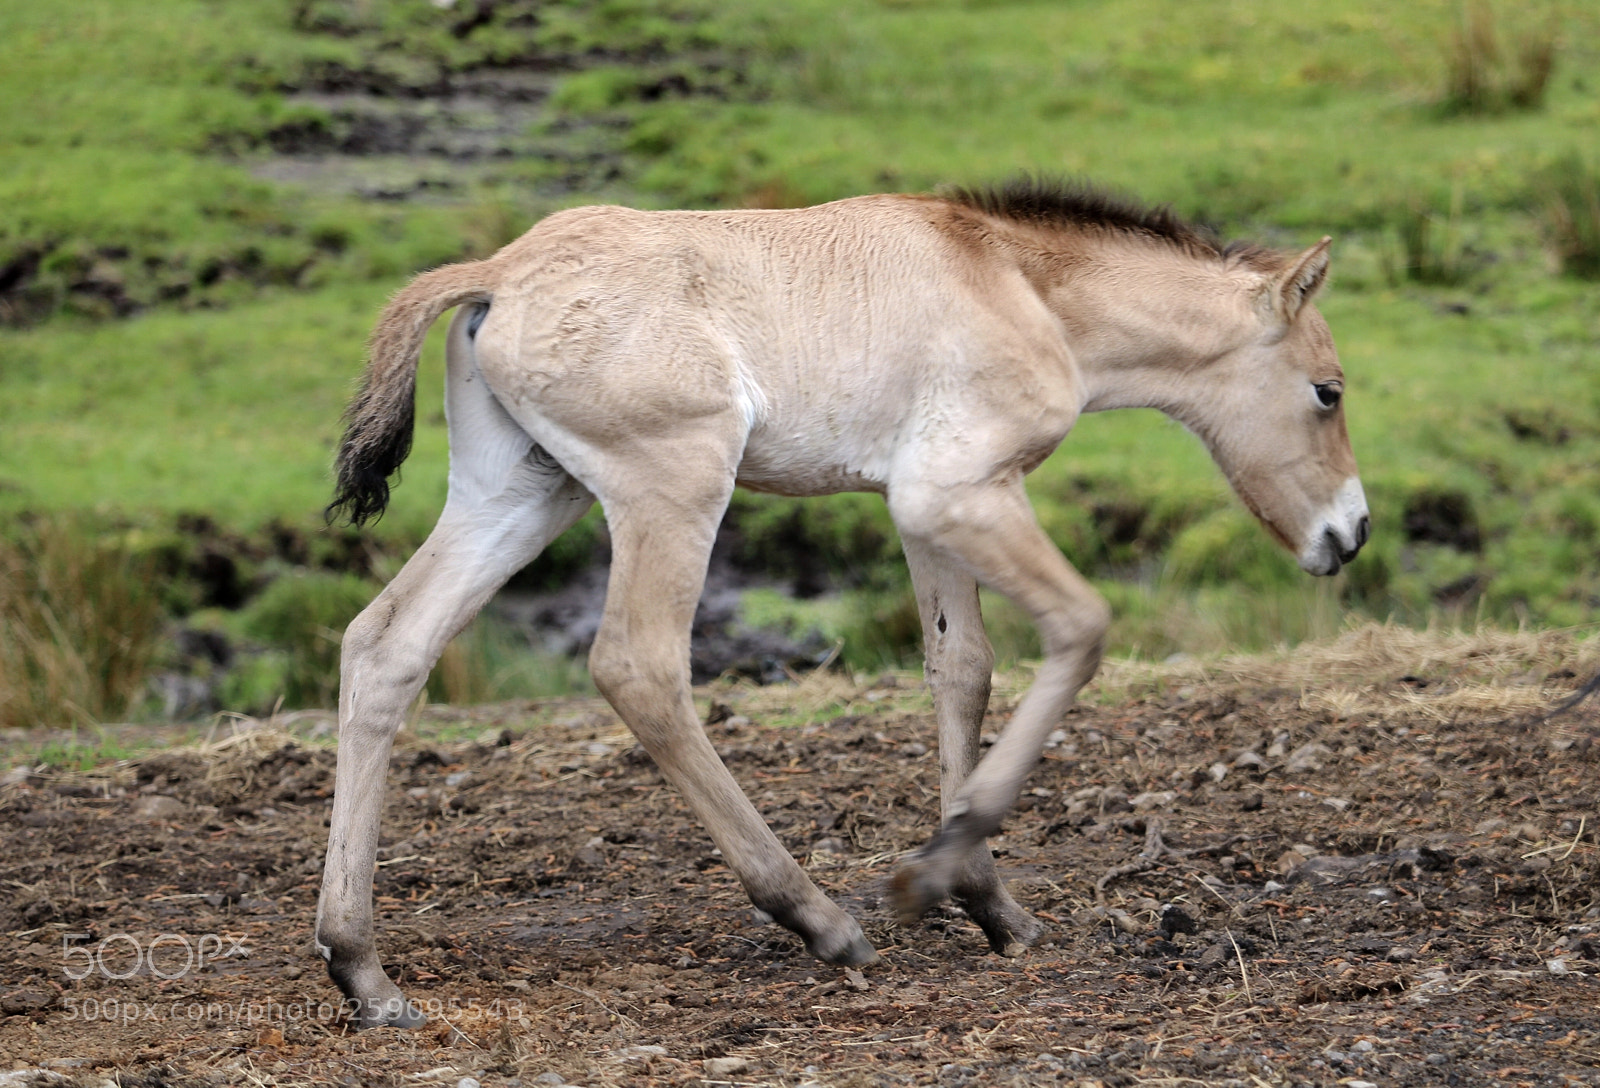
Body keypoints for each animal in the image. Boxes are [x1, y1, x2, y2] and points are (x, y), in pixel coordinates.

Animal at [314, 179, 1369, 1028]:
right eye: (1328, 391)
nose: (1350, 533)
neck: (1016, 284)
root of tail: (498, 273)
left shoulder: (929, 506)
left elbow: (962, 668)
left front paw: (988, 900)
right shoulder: (958, 493)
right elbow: (1080, 629)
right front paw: (936, 874)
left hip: (525, 492)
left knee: (385, 644)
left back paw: (364, 971)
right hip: (673, 484)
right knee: (638, 667)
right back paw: (817, 920)